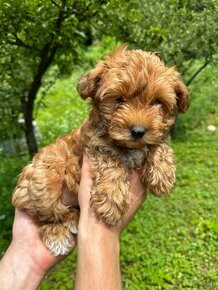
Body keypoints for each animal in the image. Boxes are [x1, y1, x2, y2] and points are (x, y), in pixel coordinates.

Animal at [12, 47, 189, 256]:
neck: (128, 146)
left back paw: (73, 220)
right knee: (48, 215)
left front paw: (163, 174)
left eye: (157, 102)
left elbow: (159, 143)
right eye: (119, 99)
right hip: (43, 182)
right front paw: (111, 200)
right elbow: (111, 160)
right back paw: (57, 234)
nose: (138, 131)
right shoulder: (94, 145)